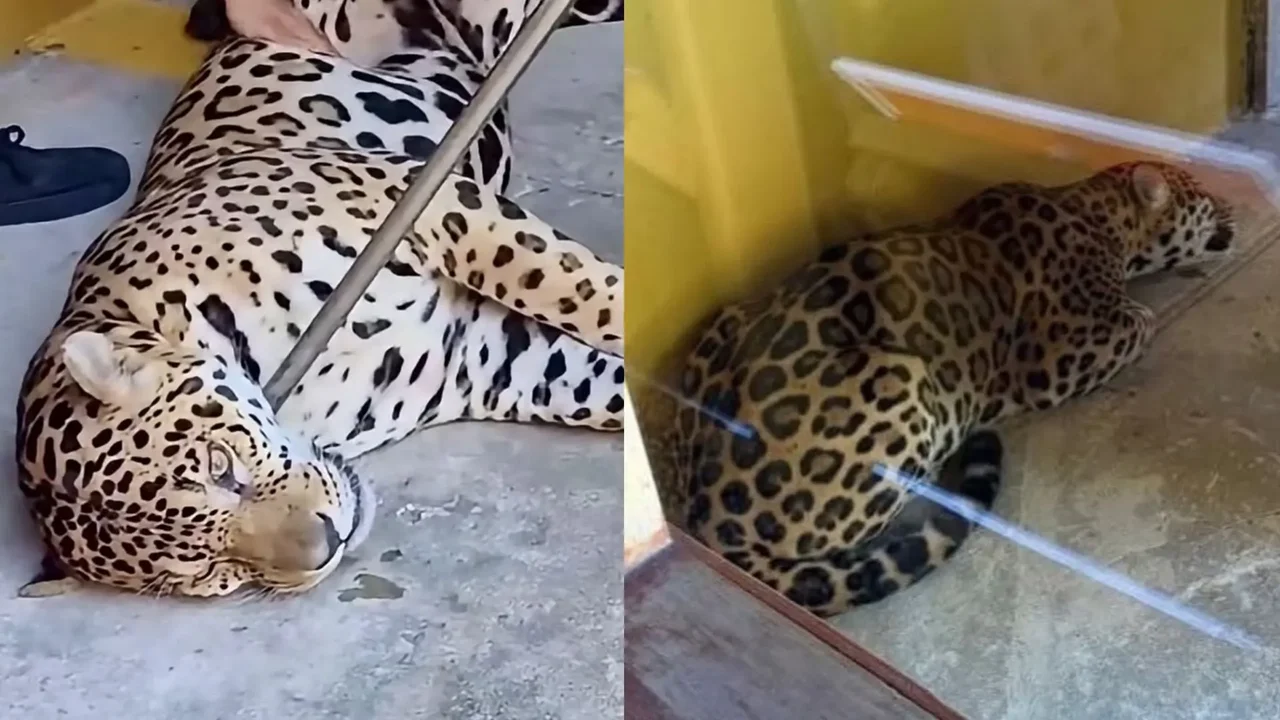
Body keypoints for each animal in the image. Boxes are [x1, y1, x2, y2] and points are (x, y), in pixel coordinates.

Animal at [13, 0, 625, 598]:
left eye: (221, 467)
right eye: (209, 572)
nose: (328, 543)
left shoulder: (428, 203)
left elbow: (574, 287)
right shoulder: (497, 358)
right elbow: (600, 379)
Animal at [653, 161, 1236, 617]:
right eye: (1202, 196)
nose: (1231, 203)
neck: (1099, 213)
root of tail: (706, 519)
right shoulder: (1059, 358)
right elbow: (1142, 320)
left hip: (724, 320)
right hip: (902, 379)